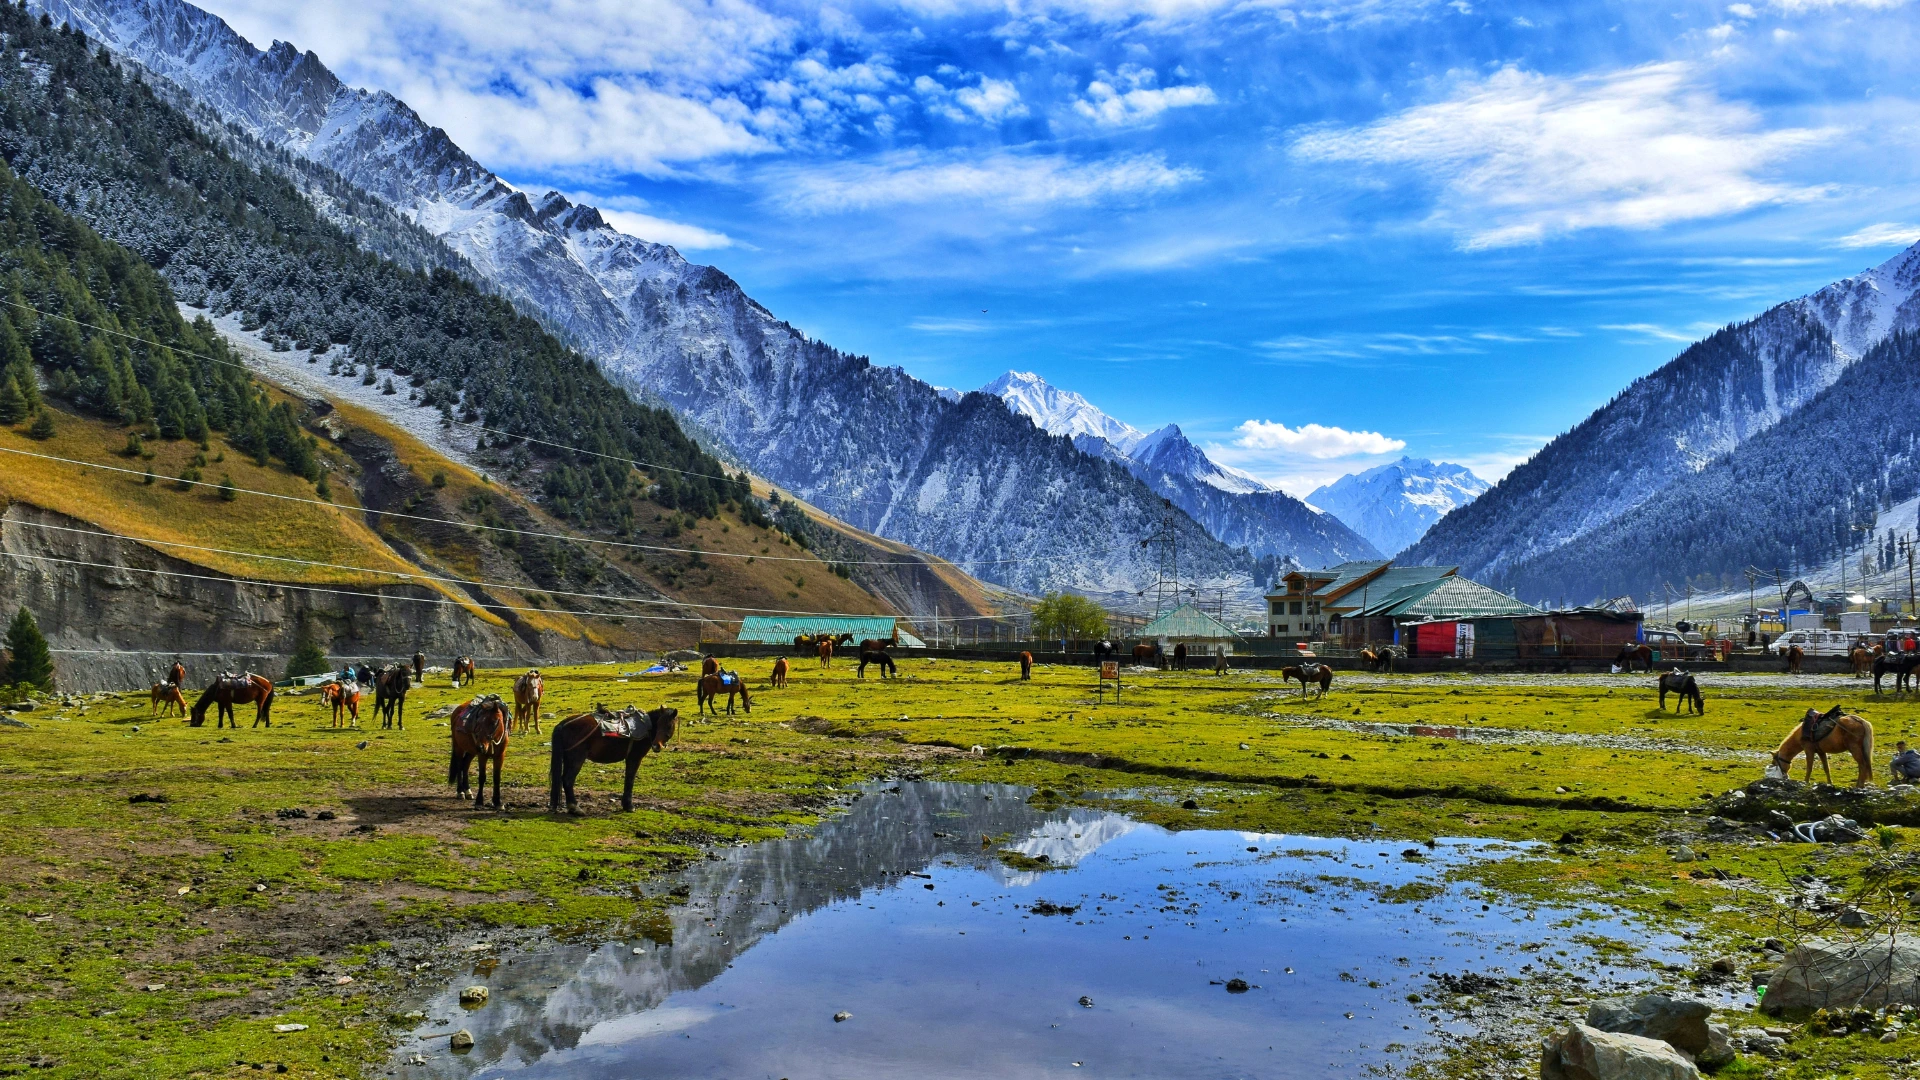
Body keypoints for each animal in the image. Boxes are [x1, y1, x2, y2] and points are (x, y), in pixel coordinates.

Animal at [545, 703, 679, 810]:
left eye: (668, 726)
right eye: (659, 723)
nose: (656, 746)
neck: (646, 726)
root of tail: (563, 724)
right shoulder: (634, 758)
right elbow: (630, 779)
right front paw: (629, 806)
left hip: (569, 758)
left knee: (563, 779)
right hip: (577, 759)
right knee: (568, 779)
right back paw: (575, 808)